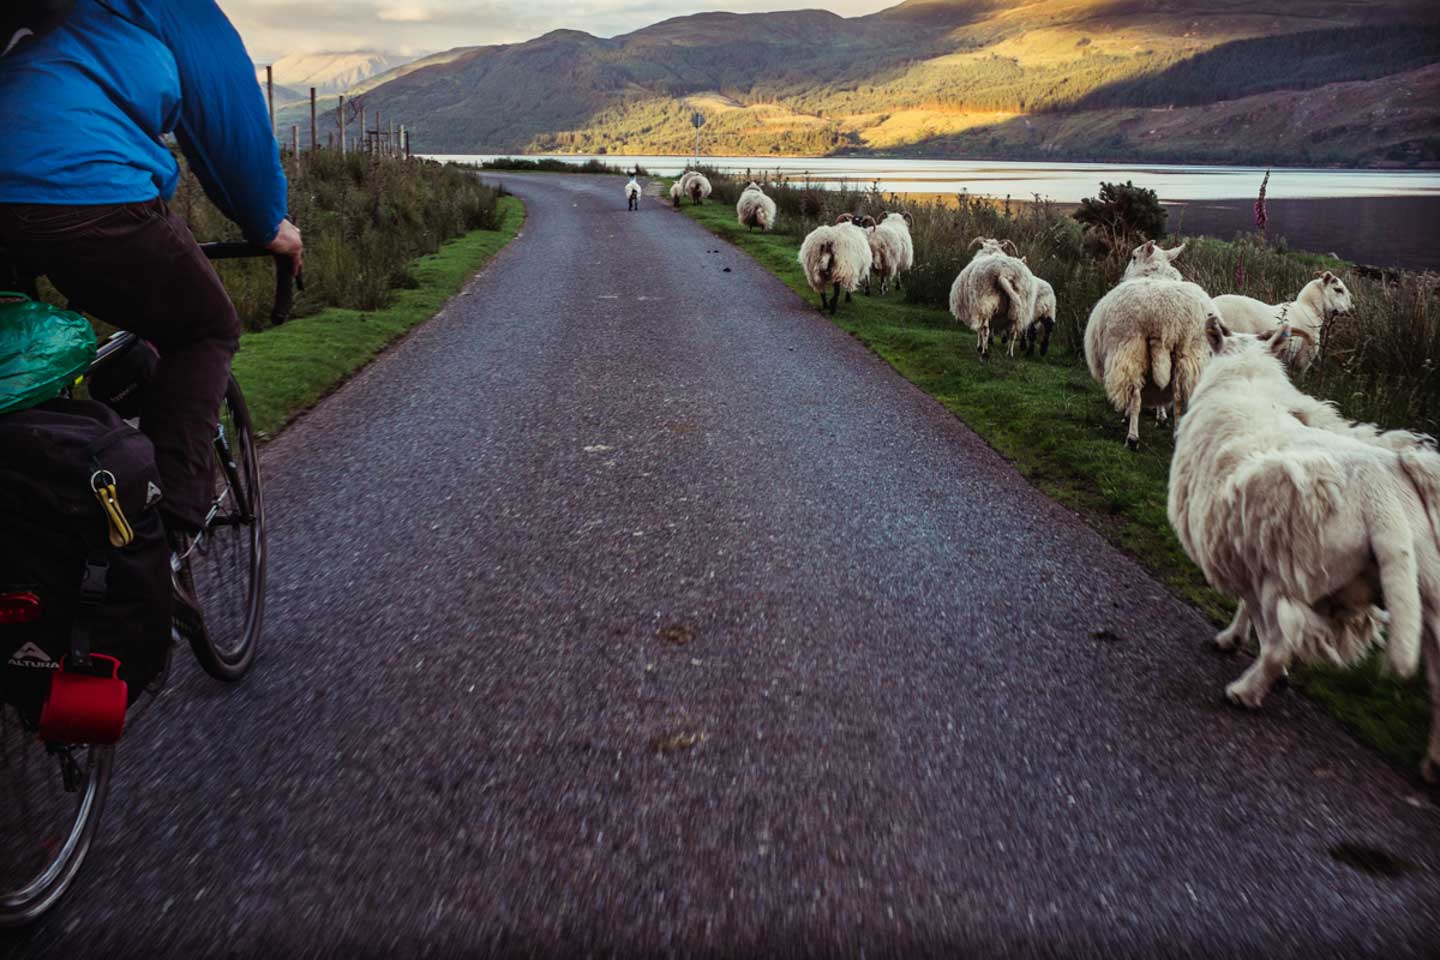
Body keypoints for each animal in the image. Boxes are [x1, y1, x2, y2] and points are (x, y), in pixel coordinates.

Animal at [1082, 240, 1215, 451]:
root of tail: (1164, 317)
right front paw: (1161, 417)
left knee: (1136, 395)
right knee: (1178, 398)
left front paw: (1128, 417)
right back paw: (1176, 435)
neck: (1155, 274)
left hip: (1132, 346)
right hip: (1187, 352)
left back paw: (1132, 437)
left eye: (1134, 256)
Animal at [1169, 315, 1440, 782]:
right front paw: (1235, 637)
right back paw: (1434, 762)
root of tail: (1383, 494)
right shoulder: (1247, 538)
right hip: (1432, 591)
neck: (1244, 377)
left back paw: (1245, 692)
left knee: (1282, 641)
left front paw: (1239, 647)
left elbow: (1255, 614)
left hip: (1290, 571)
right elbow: (1245, 605)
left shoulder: (1254, 549)